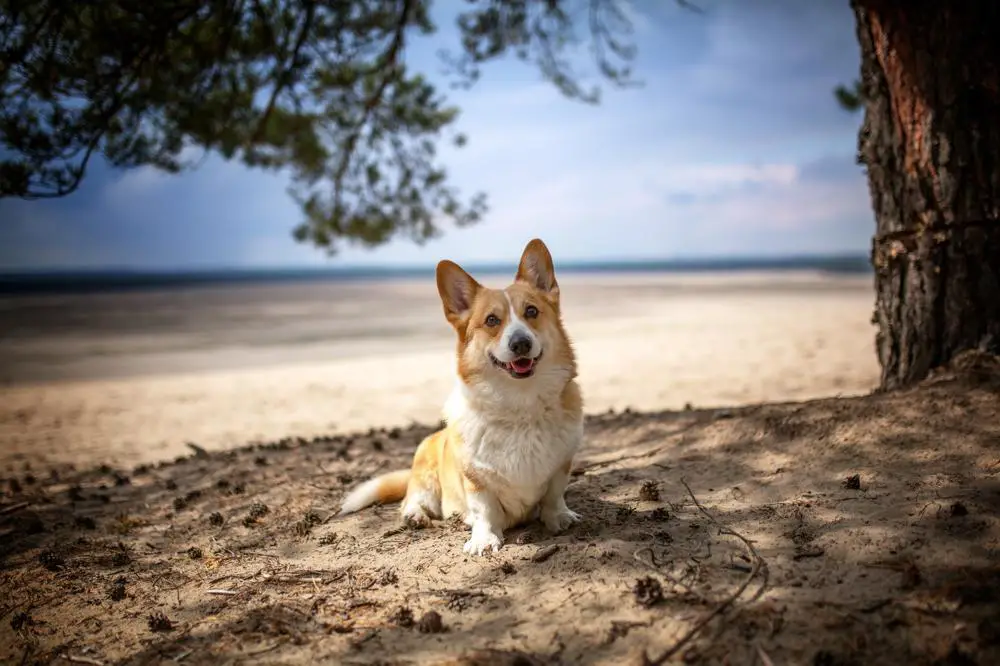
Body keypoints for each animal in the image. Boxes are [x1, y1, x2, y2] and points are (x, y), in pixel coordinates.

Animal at [338, 236, 584, 552]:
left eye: (531, 311)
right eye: (491, 320)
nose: (520, 343)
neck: (520, 403)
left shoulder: (561, 467)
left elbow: (554, 496)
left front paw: (559, 518)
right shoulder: (476, 479)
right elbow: (485, 509)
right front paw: (484, 539)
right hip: (425, 476)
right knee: (411, 499)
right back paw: (415, 516)